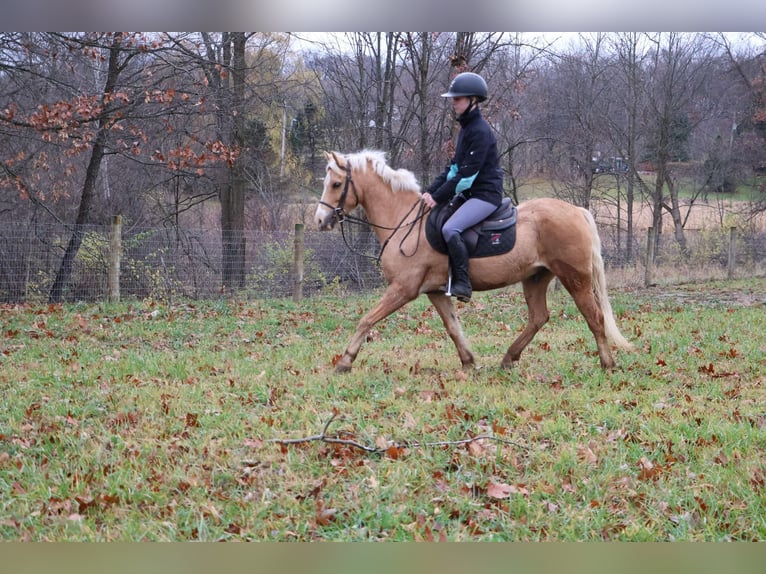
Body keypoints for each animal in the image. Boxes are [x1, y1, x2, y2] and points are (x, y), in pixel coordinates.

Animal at [314, 149, 634, 373]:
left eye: (337, 183)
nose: (319, 220)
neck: (406, 222)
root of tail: (577, 211)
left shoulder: (403, 289)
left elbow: (367, 319)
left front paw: (345, 361)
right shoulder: (435, 292)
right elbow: (453, 327)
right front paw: (468, 361)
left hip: (575, 278)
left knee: (594, 318)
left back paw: (607, 364)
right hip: (535, 277)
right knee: (538, 317)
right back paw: (509, 358)